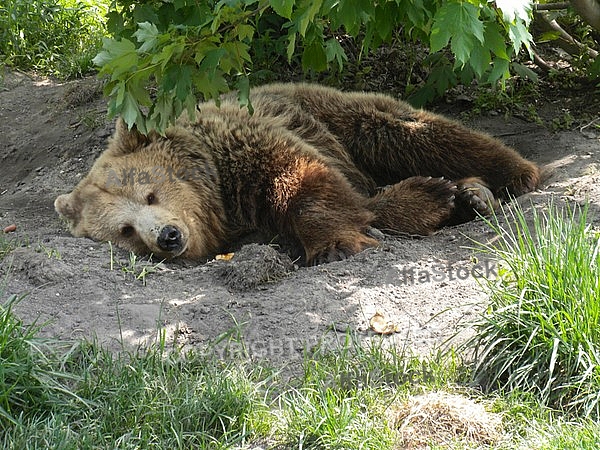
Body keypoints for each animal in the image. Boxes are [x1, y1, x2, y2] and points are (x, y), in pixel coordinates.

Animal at [56, 81, 540, 264]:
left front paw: (337, 244)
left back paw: (513, 176)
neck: (221, 203)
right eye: (125, 231)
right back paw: (471, 194)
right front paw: (438, 198)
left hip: (337, 117)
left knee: (413, 131)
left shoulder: (246, 145)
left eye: (150, 194)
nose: (169, 237)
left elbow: (303, 180)